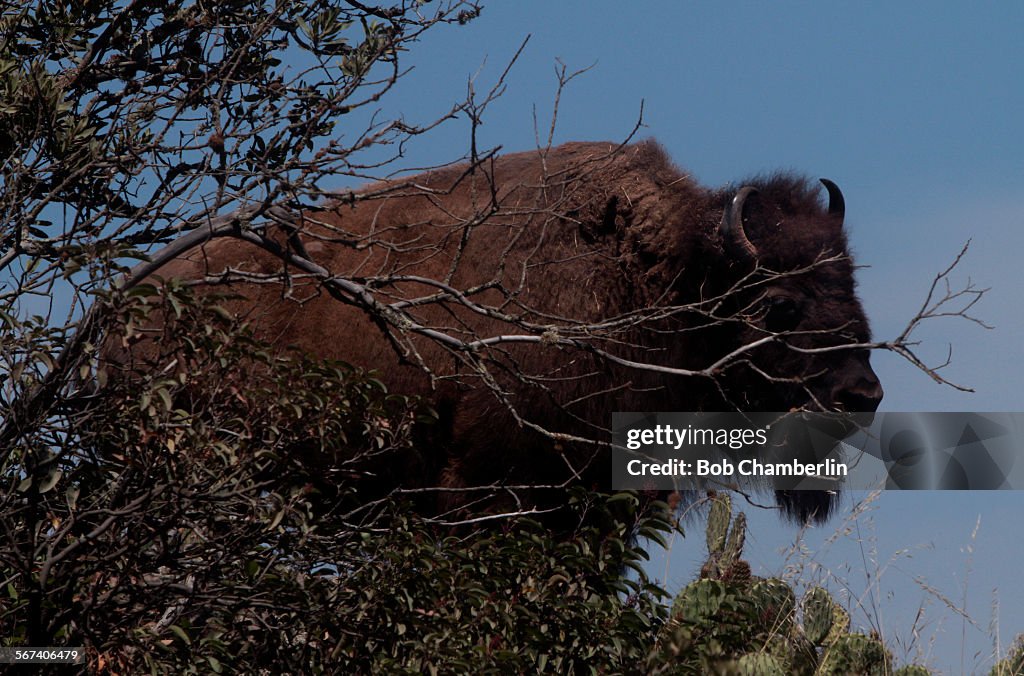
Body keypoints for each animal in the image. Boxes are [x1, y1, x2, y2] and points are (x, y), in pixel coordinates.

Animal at [110, 138, 880, 522]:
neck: (664, 285)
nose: (862, 396)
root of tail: (127, 302)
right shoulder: (488, 486)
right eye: (777, 304)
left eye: (852, 284)